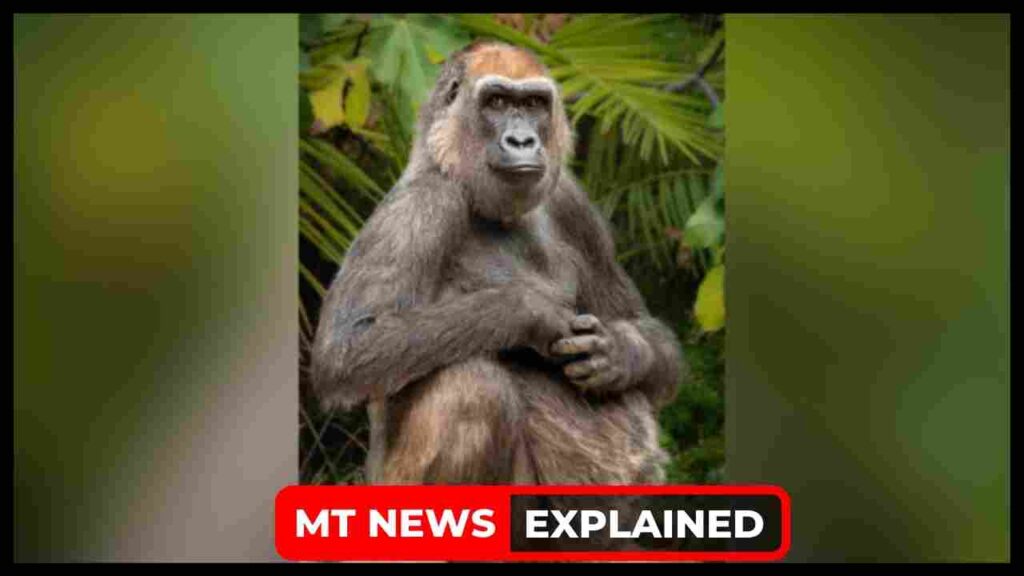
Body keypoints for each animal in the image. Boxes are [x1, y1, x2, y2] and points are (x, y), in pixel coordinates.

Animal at [310, 41, 684, 486]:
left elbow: (645, 333)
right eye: (498, 102)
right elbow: (347, 349)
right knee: (472, 386)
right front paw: (530, 311)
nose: (522, 140)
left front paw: (618, 351)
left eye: (534, 104)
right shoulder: (423, 204)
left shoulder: (572, 203)